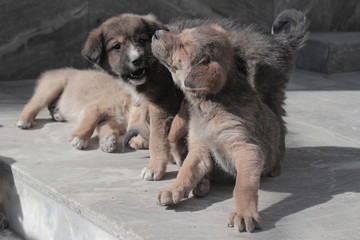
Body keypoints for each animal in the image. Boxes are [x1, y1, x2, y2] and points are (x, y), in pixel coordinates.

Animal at [16, 68, 148, 153]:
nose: (144, 145)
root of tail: (51, 72)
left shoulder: (113, 121)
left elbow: (106, 129)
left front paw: (107, 141)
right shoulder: (95, 108)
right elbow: (88, 123)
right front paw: (79, 138)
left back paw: (57, 114)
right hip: (51, 88)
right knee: (33, 104)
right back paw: (24, 120)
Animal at [81, 14, 183, 180]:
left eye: (141, 40)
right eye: (117, 46)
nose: (137, 60)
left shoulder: (163, 102)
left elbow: (157, 138)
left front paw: (154, 168)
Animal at [152, 9, 310, 232]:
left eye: (183, 46)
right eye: (181, 33)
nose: (156, 33)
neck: (209, 107)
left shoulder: (246, 149)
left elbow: (243, 187)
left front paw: (244, 214)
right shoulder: (199, 147)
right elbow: (186, 170)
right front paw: (174, 188)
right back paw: (202, 184)